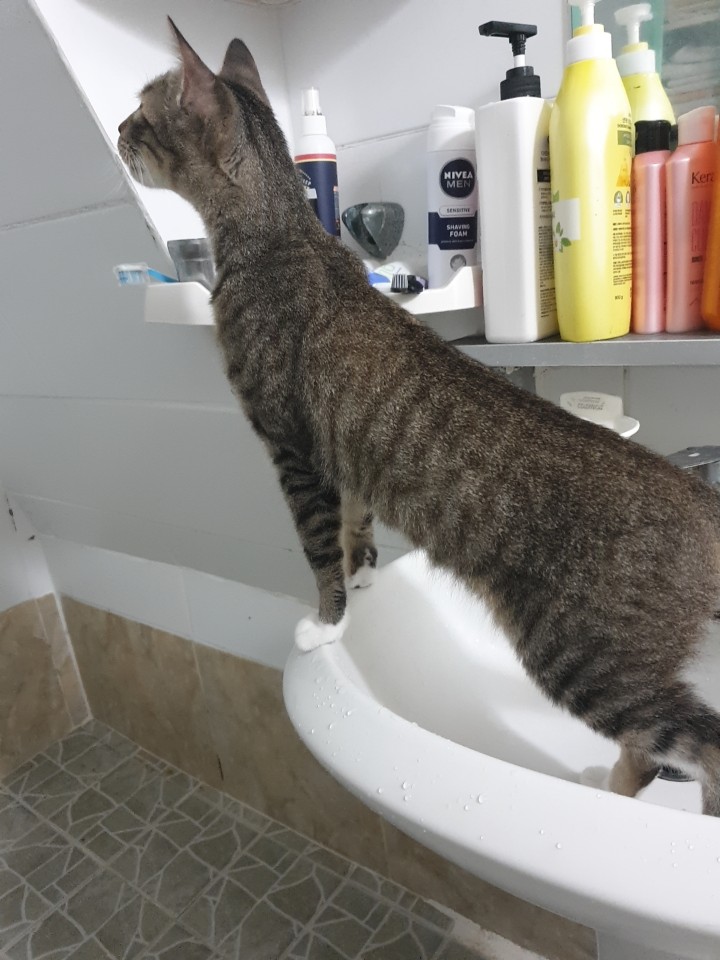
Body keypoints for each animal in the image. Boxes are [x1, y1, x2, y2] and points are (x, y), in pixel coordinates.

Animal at [118, 20, 720, 816]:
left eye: (141, 114)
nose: (117, 133)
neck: (281, 232)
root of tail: (700, 500)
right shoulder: (340, 456)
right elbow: (353, 525)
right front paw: (364, 580)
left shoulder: (291, 446)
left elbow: (317, 547)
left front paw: (326, 622)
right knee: (654, 753)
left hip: (584, 657)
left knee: (698, 743)